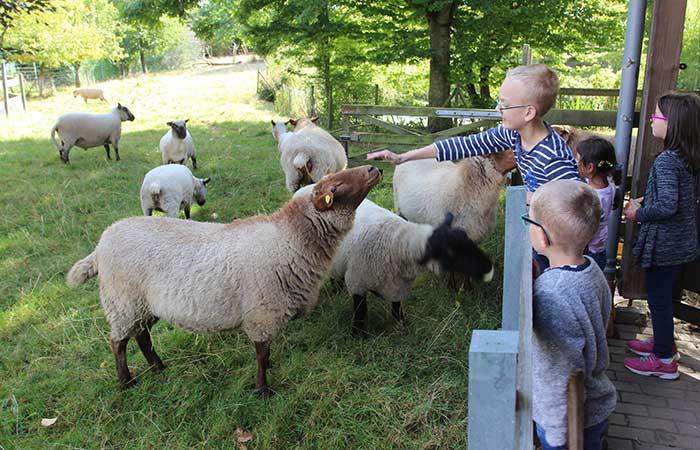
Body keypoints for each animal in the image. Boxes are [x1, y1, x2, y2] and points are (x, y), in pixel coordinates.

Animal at [66, 166, 382, 398]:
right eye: (335, 187)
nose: (373, 168)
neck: (290, 239)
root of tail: (102, 241)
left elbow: (266, 353)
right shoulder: (262, 314)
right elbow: (262, 354)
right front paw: (262, 390)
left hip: (143, 304)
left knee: (142, 335)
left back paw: (159, 368)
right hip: (122, 301)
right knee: (118, 343)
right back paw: (126, 382)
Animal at [292, 185, 494, 336]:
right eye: (450, 251)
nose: (489, 268)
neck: (396, 243)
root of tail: (306, 188)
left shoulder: (397, 287)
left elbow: (397, 309)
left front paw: (402, 327)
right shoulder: (357, 281)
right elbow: (360, 311)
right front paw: (358, 336)